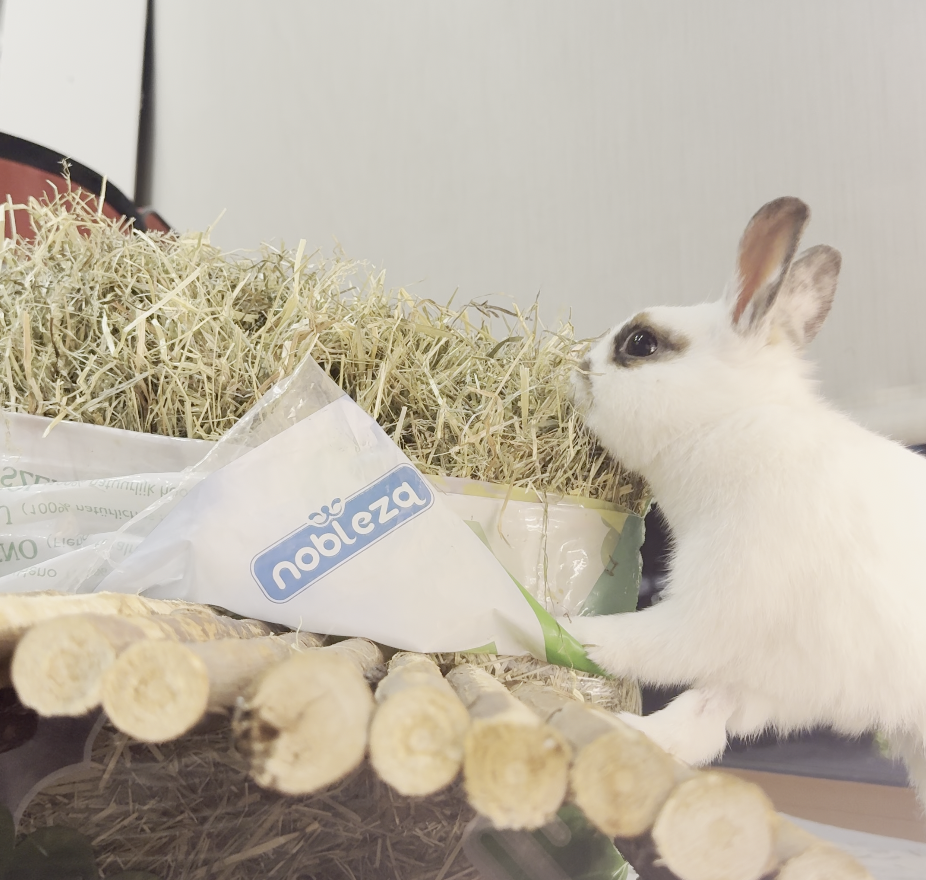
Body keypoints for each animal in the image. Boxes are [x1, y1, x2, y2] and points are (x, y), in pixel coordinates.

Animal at [564, 196, 926, 807]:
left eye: (640, 343)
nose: (578, 368)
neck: (729, 423)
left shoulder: (720, 603)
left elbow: (647, 643)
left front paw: (568, 626)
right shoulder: (772, 678)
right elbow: (701, 723)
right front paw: (630, 729)